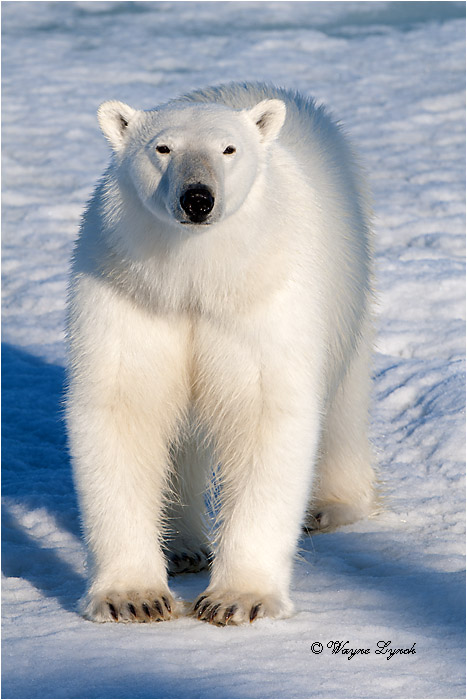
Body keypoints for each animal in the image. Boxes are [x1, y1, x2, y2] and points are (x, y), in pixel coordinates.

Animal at [66, 82, 377, 626]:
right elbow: (124, 407)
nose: (197, 198)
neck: (195, 278)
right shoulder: (131, 293)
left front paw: (237, 598)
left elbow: (263, 412)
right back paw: (184, 546)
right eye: (162, 147)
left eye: (228, 149)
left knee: (342, 404)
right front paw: (133, 597)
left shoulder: (261, 300)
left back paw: (331, 506)